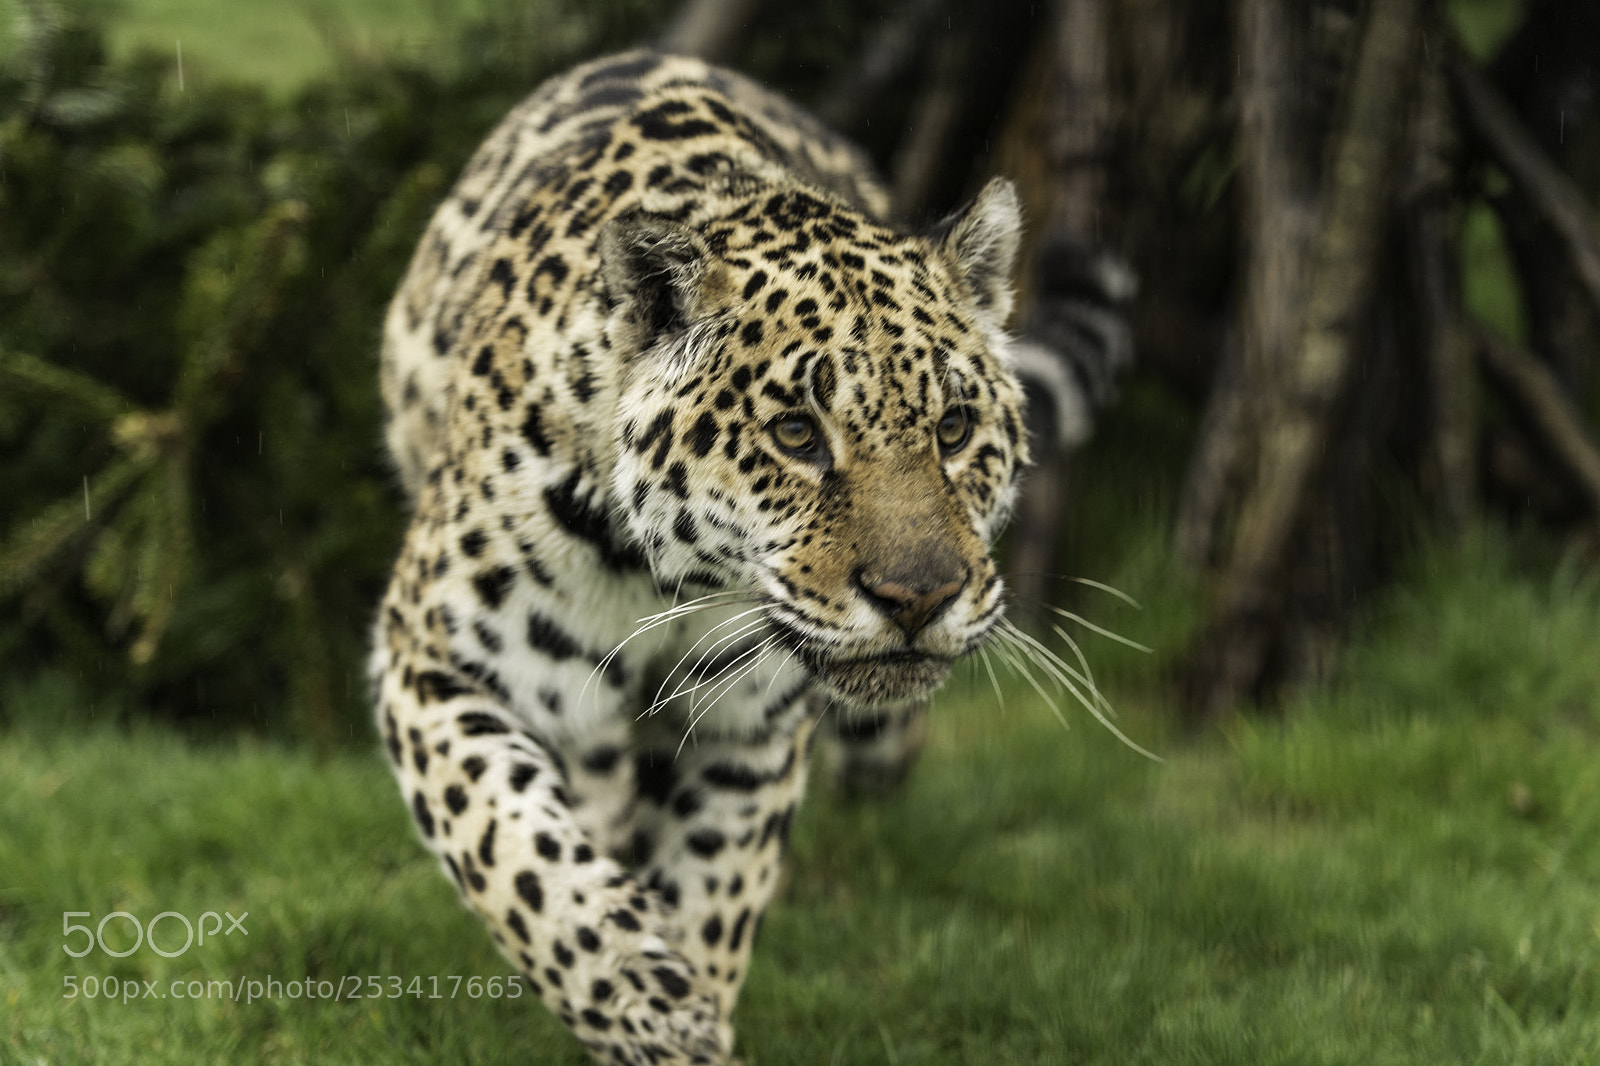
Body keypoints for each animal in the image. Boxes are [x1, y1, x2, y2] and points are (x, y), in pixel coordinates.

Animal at [371, 48, 1037, 1064]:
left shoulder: (749, 730)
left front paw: (689, 1004)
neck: (665, 580)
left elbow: (715, 891)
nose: (920, 599)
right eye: (798, 434)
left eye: (955, 428)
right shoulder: (433, 661)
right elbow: (519, 854)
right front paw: (649, 1000)